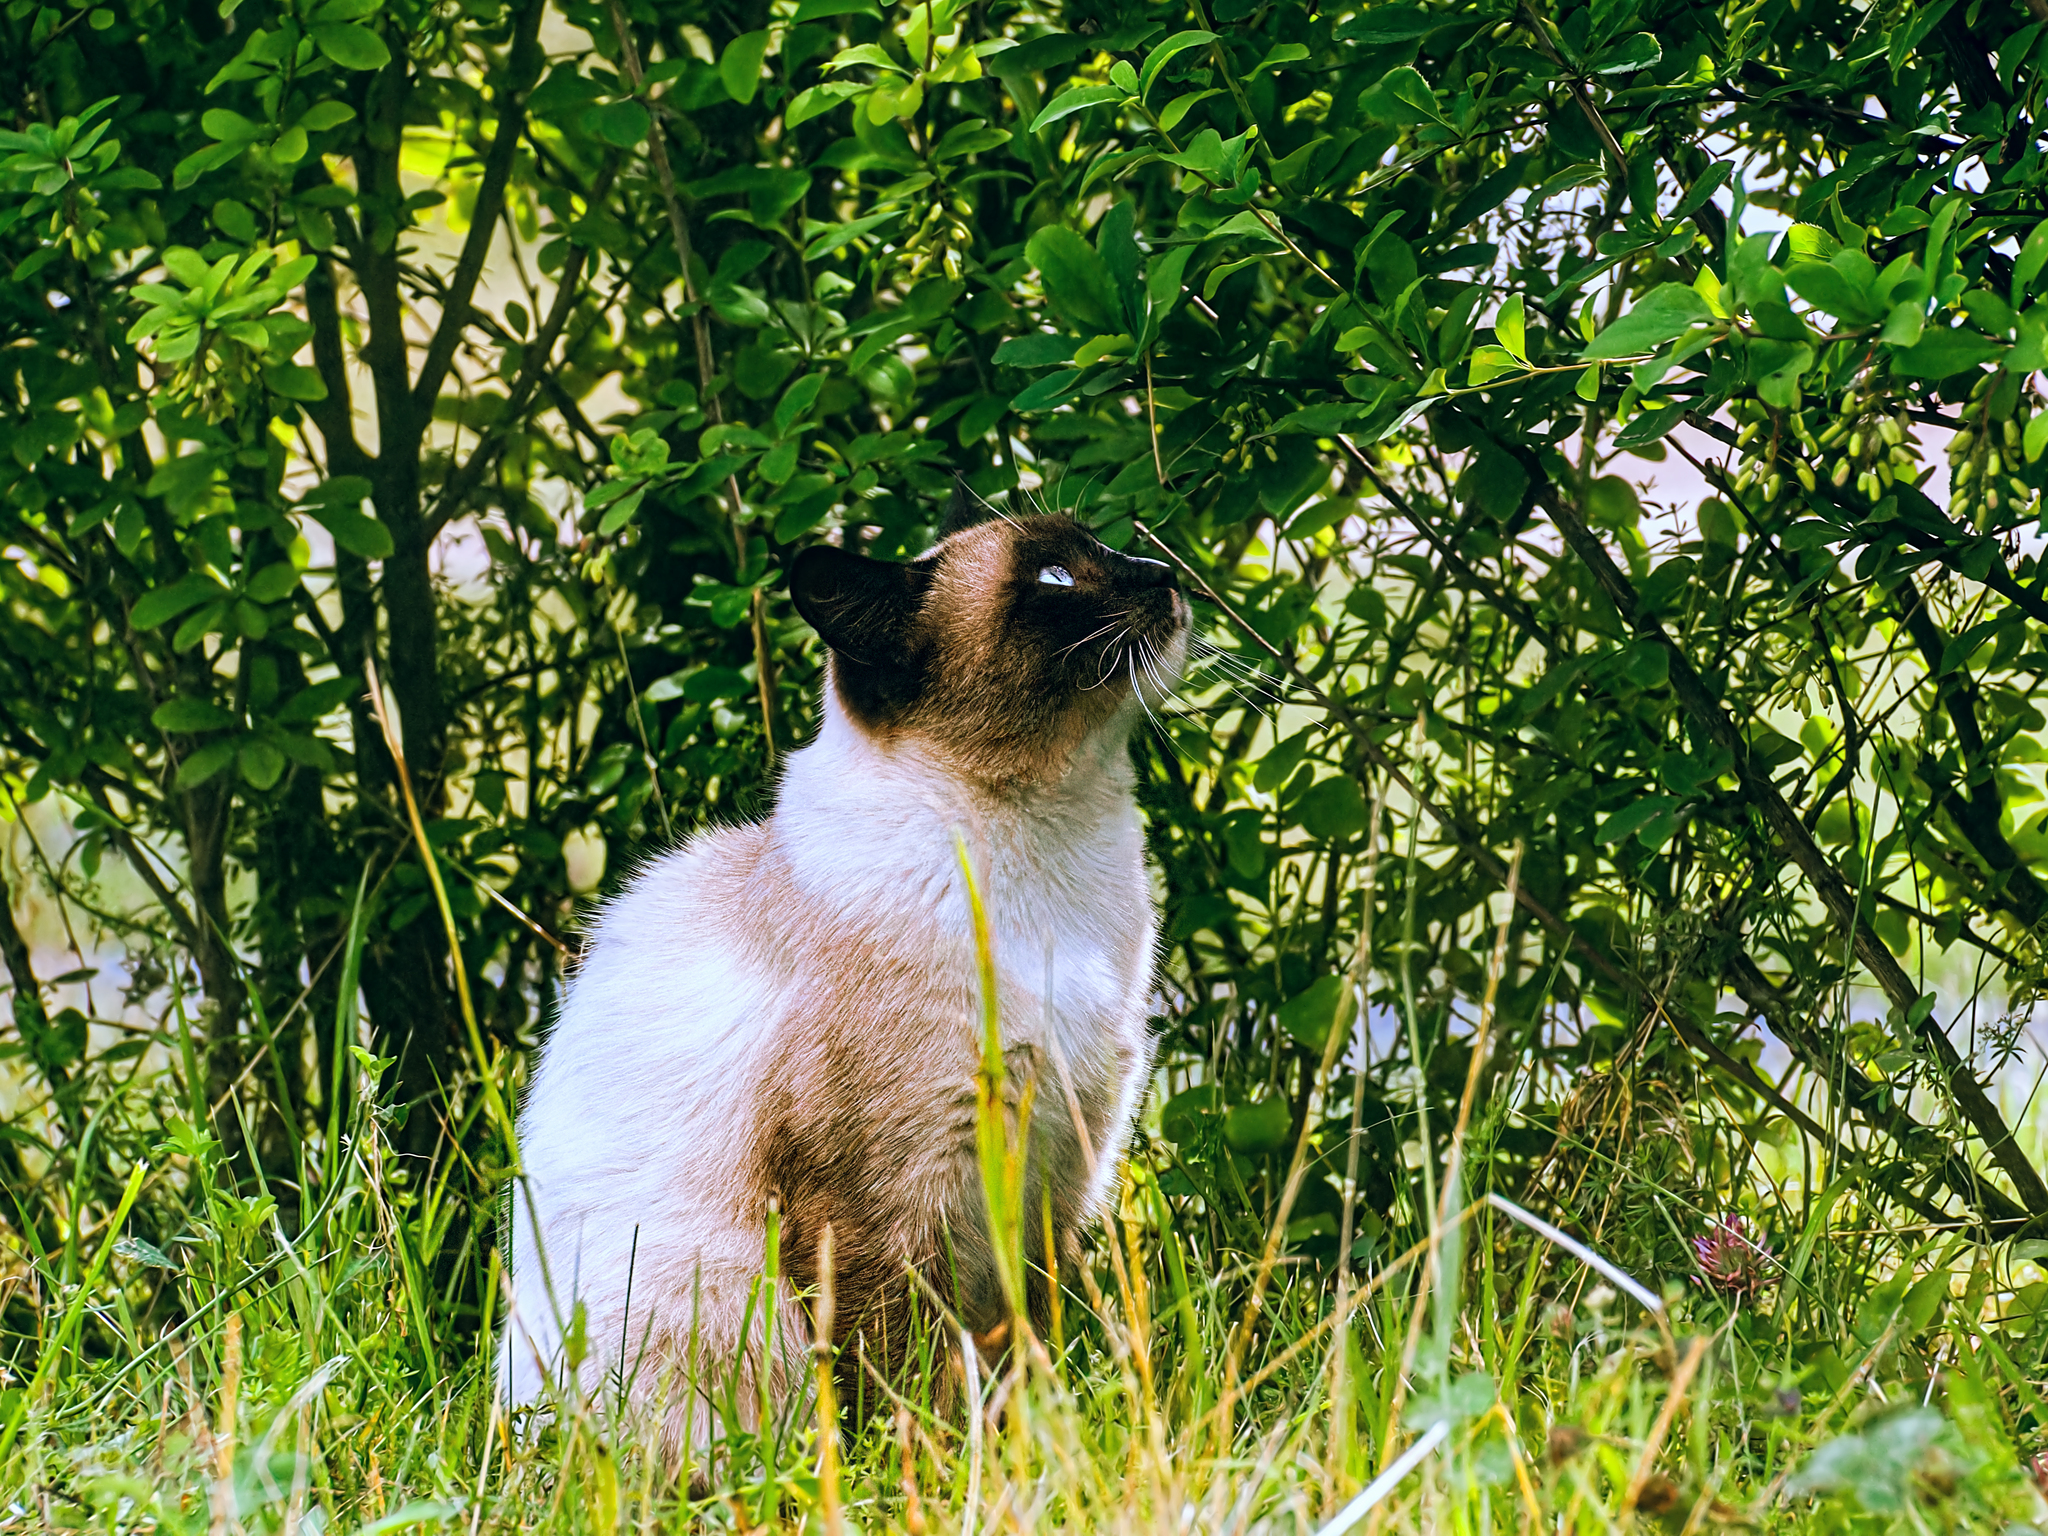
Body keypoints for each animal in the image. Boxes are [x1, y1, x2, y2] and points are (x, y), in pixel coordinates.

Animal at [501, 507, 1196, 1466]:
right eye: (1055, 578)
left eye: (1102, 545)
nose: (1170, 574)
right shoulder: (888, 1206)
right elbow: (903, 1385)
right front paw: (933, 1477)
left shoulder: (1056, 1179)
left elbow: (1026, 1358)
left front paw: (1026, 1462)